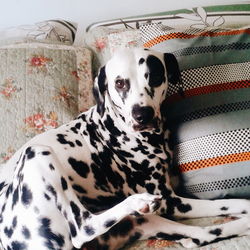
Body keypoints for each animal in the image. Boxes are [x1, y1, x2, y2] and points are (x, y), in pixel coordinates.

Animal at [0, 47, 250, 249]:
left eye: (156, 76)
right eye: (120, 83)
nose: (142, 115)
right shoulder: (172, 201)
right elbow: (228, 203)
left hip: (144, 222)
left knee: (201, 234)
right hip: (37, 153)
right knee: (83, 228)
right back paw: (138, 202)